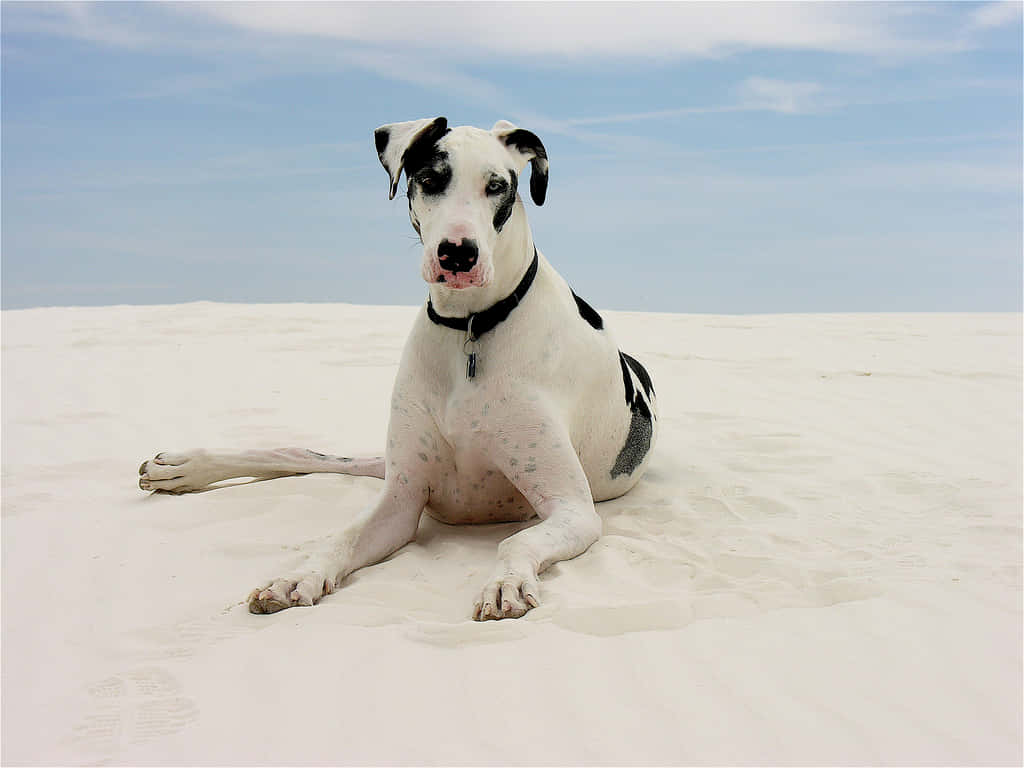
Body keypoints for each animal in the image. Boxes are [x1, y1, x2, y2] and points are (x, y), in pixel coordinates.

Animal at [138, 117, 655, 622]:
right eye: (429, 180)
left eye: (496, 186)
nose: (457, 253)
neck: (470, 328)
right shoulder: (401, 500)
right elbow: (340, 538)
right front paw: (296, 577)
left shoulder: (572, 509)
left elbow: (516, 541)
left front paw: (505, 582)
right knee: (302, 453)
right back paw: (184, 468)